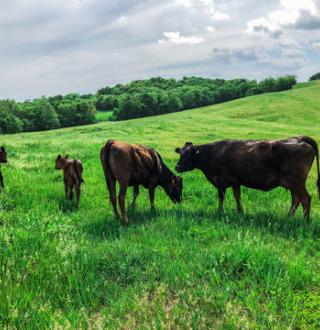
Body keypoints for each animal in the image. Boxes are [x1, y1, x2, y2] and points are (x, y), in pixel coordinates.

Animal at [175, 135, 320, 218]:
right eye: (180, 153)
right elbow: (237, 196)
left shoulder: (220, 181)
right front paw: (240, 212)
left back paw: (305, 221)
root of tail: (299, 138)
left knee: (306, 199)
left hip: (297, 182)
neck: (212, 154)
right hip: (293, 184)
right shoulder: (235, 181)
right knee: (296, 200)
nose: (177, 167)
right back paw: (288, 218)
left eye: (188, 154)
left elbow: (221, 198)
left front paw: (220, 212)